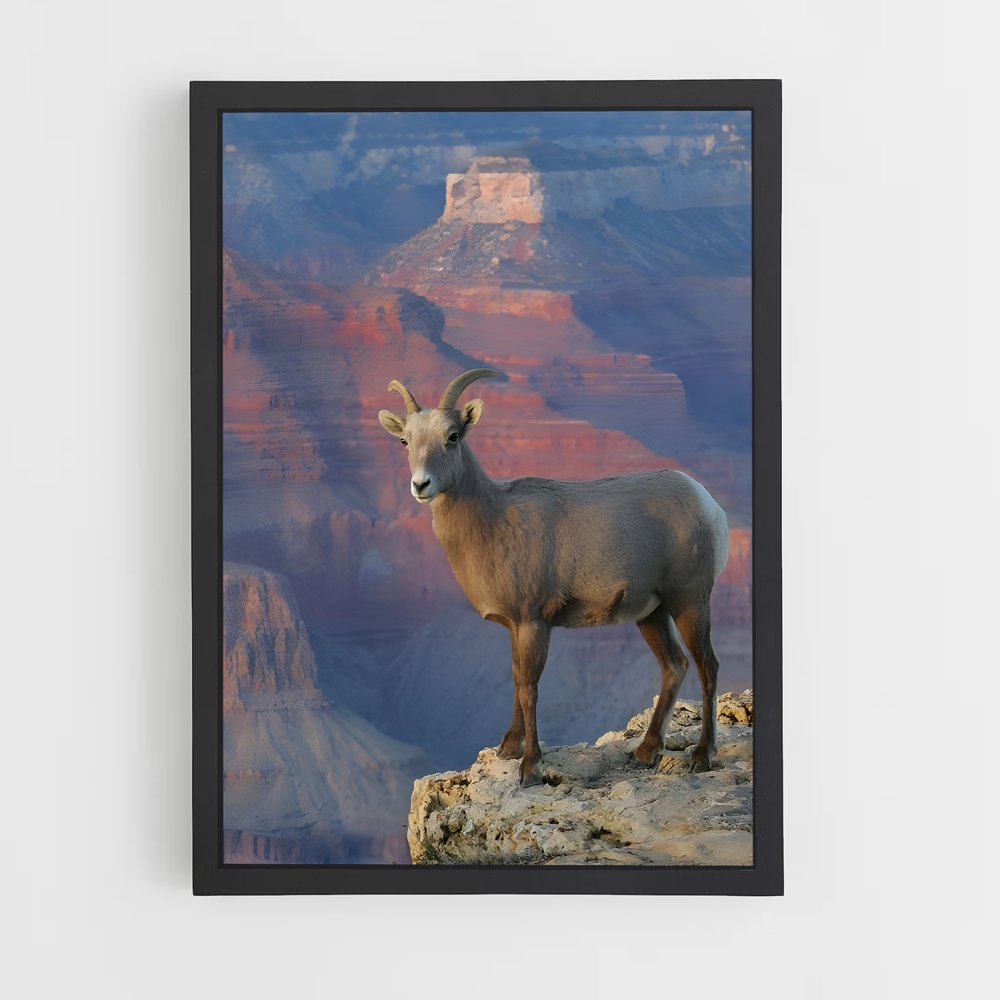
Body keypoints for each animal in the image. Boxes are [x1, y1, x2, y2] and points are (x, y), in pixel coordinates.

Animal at [378, 368, 730, 786]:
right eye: (405, 440)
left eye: (453, 436)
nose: (421, 485)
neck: (493, 522)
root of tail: (709, 504)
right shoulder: (515, 627)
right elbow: (516, 681)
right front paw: (508, 749)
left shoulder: (534, 623)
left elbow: (529, 688)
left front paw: (530, 767)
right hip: (652, 614)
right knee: (674, 665)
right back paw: (645, 752)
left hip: (690, 601)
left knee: (707, 665)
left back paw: (702, 756)